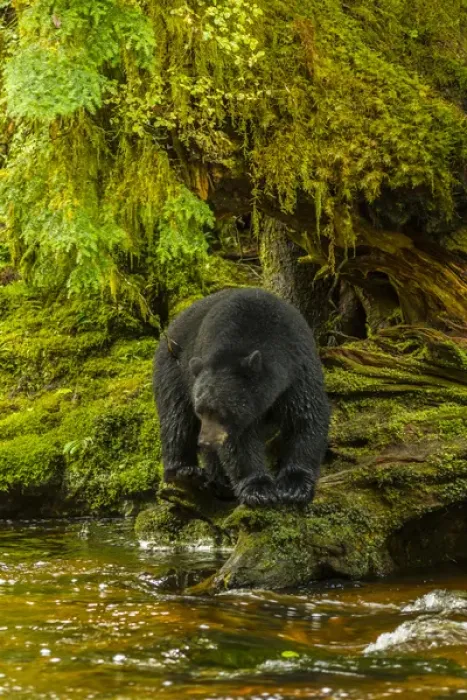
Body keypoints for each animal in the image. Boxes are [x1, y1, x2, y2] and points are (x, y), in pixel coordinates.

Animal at [153, 288, 330, 507]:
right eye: (200, 410)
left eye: (219, 411)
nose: (205, 441)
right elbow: (239, 443)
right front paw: (259, 489)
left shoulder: (298, 369)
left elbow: (305, 418)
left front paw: (294, 486)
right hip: (173, 371)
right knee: (176, 418)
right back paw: (186, 471)